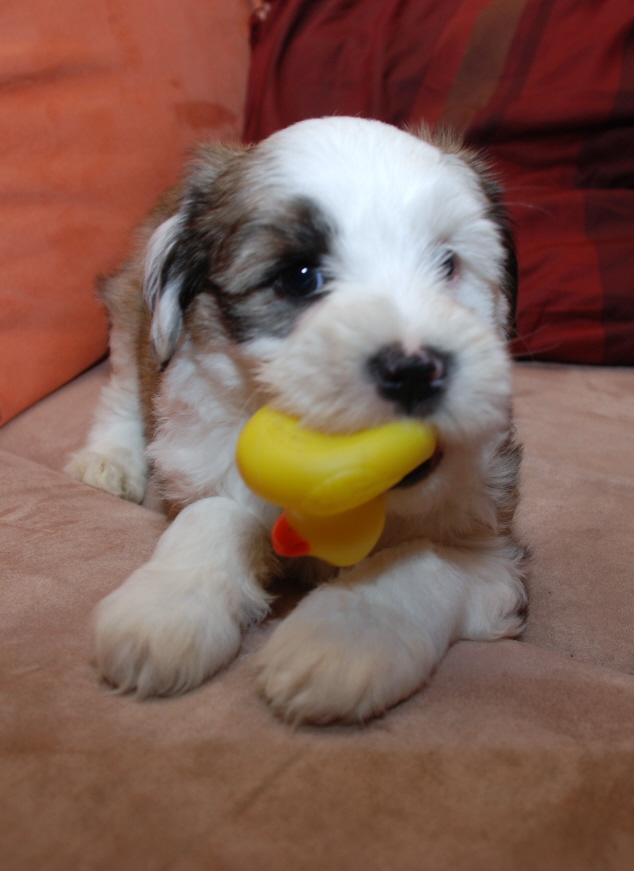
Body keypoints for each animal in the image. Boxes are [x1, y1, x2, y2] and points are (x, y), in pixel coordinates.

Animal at [65, 117, 528, 728]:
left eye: (447, 264)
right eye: (299, 276)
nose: (413, 371)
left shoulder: (496, 556)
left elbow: (421, 562)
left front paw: (343, 640)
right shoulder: (200, 465)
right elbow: (213, 516)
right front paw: (164, 607)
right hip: (127, 310)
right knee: (122, 385)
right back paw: (108, 460)